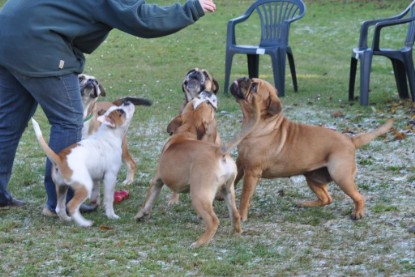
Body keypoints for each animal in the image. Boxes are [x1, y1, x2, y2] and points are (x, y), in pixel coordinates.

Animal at [229, 76, 394, 221]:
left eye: (254, 87)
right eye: (250, 79)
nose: (244, 78)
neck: (256, 124)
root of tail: (350, 140)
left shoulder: (252, 171)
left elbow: (245, 196)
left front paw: (242, 215)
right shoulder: (241, 163)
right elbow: (234, 181)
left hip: (341, 176)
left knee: (359, 197)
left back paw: (358, 213)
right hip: (312, 178)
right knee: (327, 198)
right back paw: (305, 204)